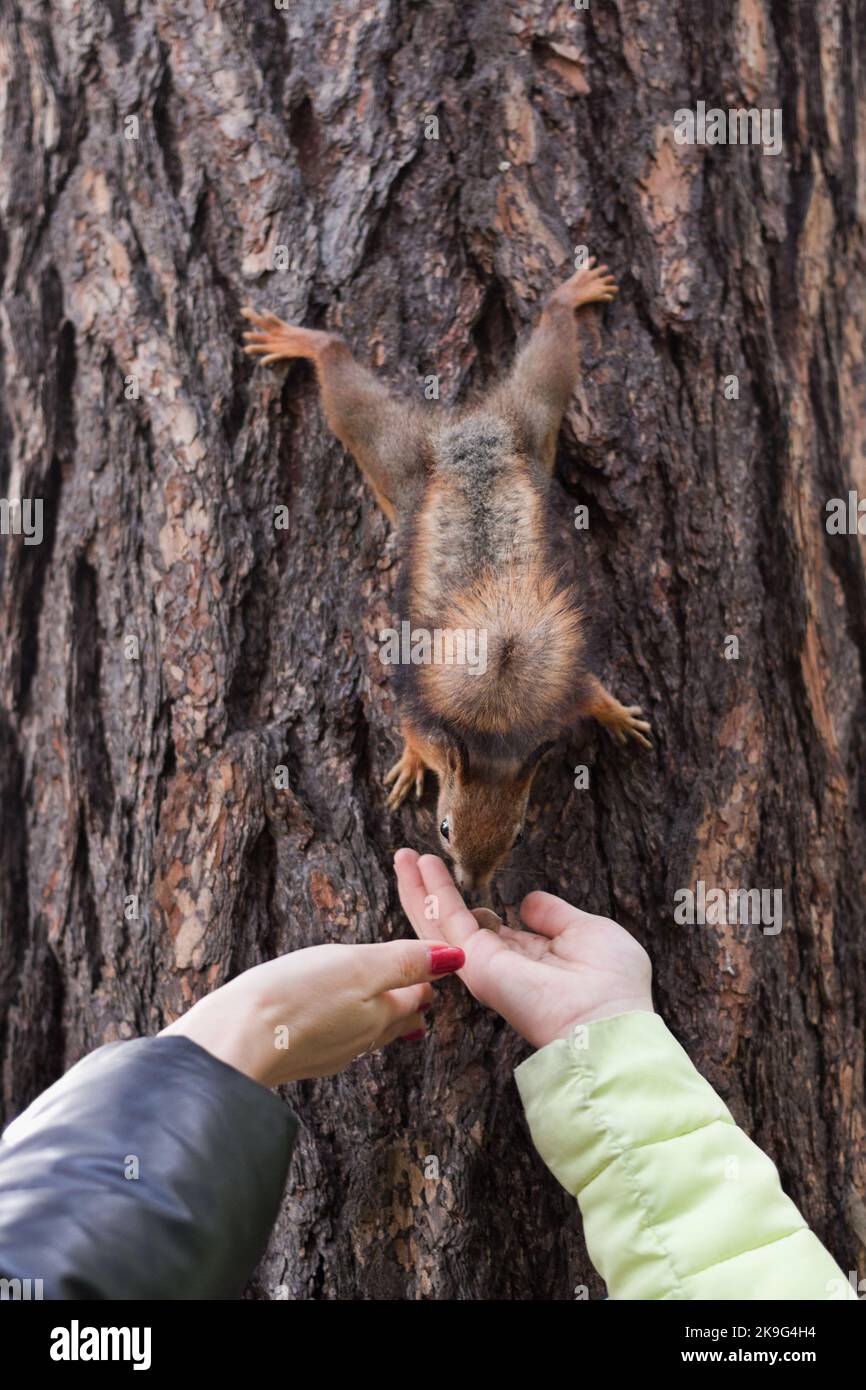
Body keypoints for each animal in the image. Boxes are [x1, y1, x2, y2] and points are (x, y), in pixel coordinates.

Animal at [242, 259, 651, 896]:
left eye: (517, 834)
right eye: (443, 829)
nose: (470, 889)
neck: (492, 737)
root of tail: (469, 443)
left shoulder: (559, 696)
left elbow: (592, 691)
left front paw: (617, 716)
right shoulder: (431, 722)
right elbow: (412, 732)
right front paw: (411, 764)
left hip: (528, 420)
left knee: (549, 354)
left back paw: (568, 295)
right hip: (407, 453)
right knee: (347, 385)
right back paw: (302, 341)